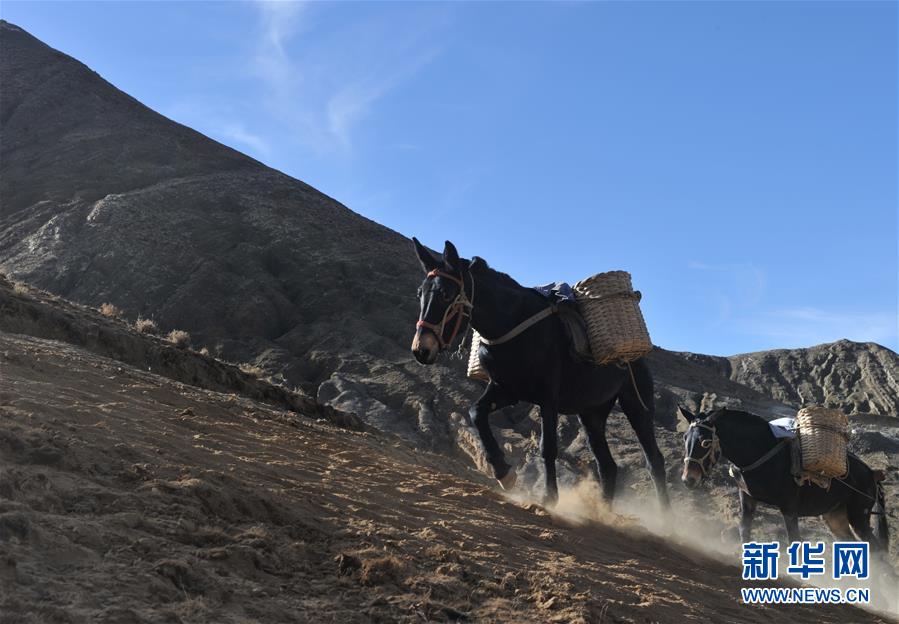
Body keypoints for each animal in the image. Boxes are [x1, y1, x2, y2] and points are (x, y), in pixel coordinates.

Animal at [409, 238, 670, 509]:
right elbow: (475, 413)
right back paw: (604, 512)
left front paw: (549, 497)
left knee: (654, 460)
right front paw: (504, 474)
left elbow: (548, 447)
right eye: (420, 294)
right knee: (607, 466)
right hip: (591, 414)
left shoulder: (548, 398)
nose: (421, 349)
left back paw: (665, 515)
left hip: (636, 404)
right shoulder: (506, 390)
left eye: (446, 294)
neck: (511, 321)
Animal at [679, 406, 889, 552]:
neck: (760, 451)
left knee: (876, 551)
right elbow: (744, 530)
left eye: (705, 442)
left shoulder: (789, 508)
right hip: (836, 518)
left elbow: (793, 540)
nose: (688, 479)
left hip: (859, 517)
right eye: (685, 437)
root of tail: (872, 473)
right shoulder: (747, 498)